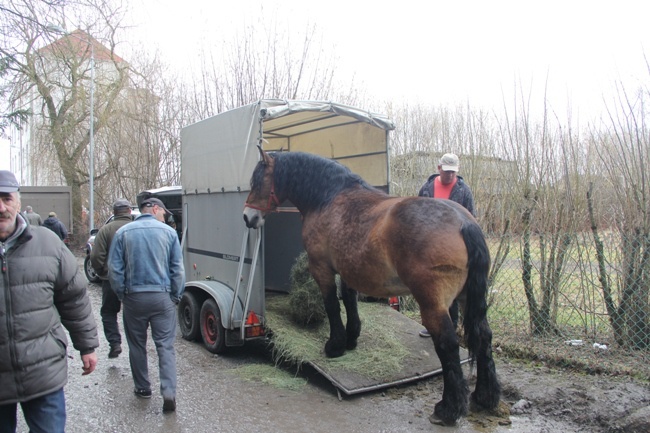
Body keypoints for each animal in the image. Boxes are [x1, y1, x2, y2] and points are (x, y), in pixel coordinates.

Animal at [240, 148, 498, 422]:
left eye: (257, 181)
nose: (248, 217)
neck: (329, 198)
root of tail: (463, 222)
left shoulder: (322, 269)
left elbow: (332, 305)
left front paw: (335, 346)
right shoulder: (348, 269)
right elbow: (349, 300)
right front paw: (351, 339)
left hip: (433, 304)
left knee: (448, 344)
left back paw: (448, 408)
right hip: (467, 298)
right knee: (483, 336)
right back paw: (485, 397)